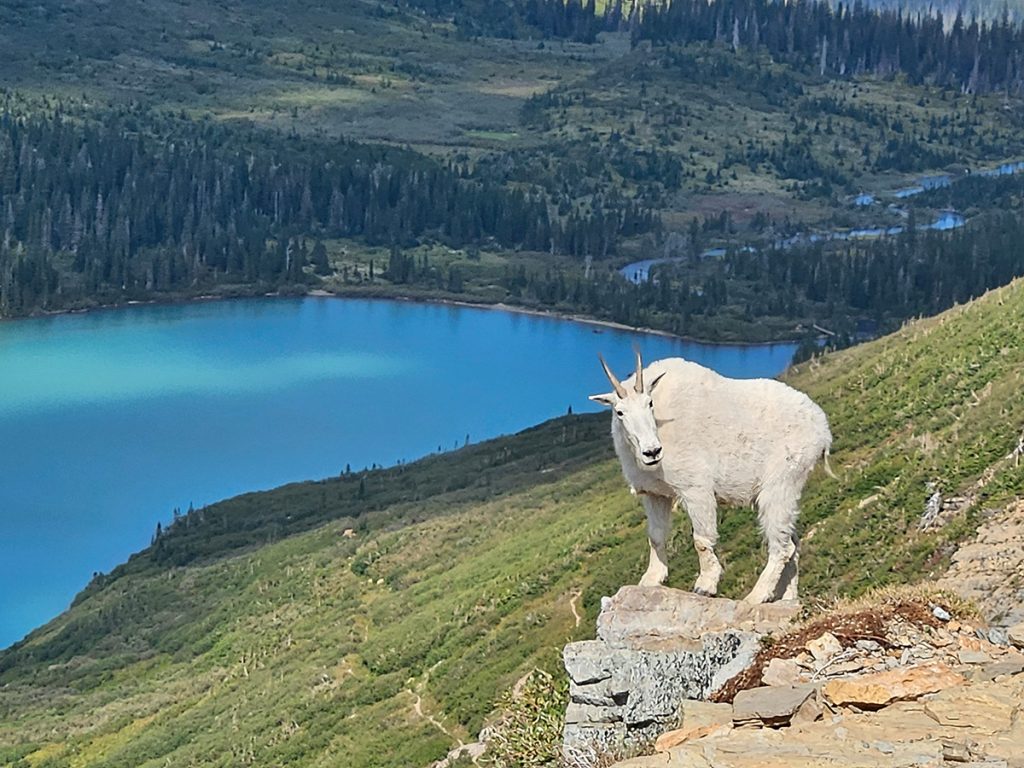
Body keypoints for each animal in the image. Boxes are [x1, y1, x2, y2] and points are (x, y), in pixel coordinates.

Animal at [589, 350, 833, 603]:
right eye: (619, 412)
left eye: (650, 403)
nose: (652, 452)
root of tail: (822, 428)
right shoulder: (655, 494)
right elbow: (655, 536)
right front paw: (650, 580)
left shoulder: (695, 489)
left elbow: (701, 540)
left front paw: (706, 585)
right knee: (792, 543)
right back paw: (787, 598)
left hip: (782, 484)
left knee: (782, 547)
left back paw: (755, 596)